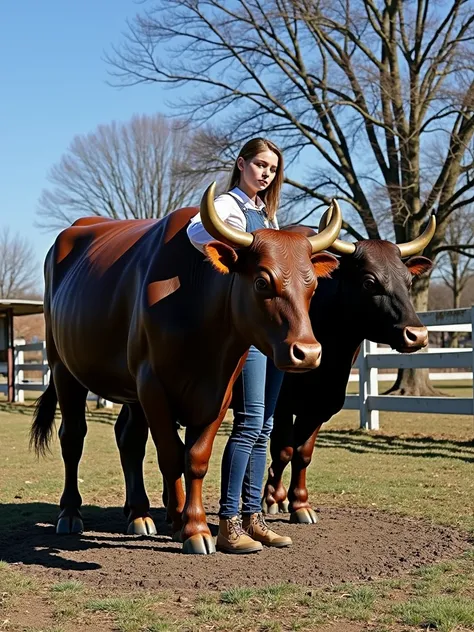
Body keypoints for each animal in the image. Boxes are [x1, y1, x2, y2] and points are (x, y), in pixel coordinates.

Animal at [29, 183, 340, 552]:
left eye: (313, 285)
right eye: (262, 281)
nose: (307, 352)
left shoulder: (217, 390)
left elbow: (195, 458)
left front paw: (193, 525)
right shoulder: (152, 384)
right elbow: (170, 455)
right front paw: (184, 524)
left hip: (129, 391)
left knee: (129, 439)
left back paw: (138, 514)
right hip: (64, 369)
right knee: (73, 437)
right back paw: (70, 513)